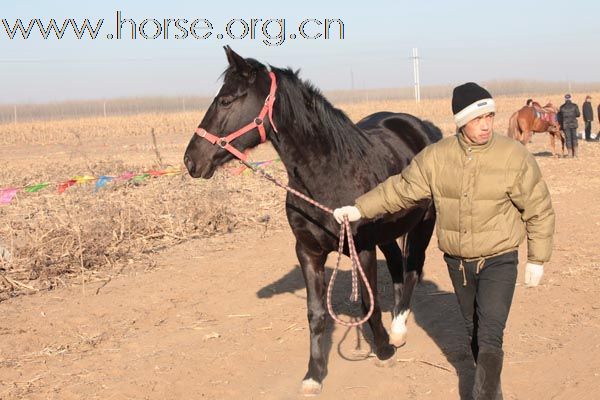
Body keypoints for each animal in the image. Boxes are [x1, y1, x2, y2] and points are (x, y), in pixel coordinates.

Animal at [185, 47, 442, 394]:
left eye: (226, 100)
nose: (191, 160)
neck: (330, 172)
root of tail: (422, 126)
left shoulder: (361, 248)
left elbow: (368, 303)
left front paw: (384, 350)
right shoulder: (308, 252)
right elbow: (317, 313)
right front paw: (314, 374)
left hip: (424, 223)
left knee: (414, 266)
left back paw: (399, 330)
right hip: (389, 232)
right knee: (397, 266)